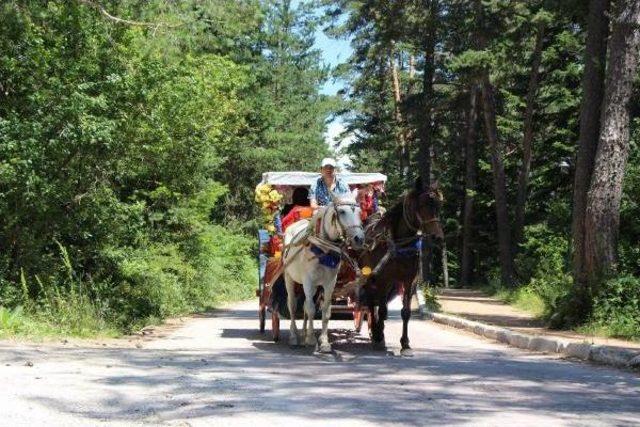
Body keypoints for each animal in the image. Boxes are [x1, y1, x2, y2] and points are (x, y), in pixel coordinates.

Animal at [282, 196, 362, 352]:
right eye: (342, 211)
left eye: (360, 212)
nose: (359, 238)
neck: (323, 249)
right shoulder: (308, 281)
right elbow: (312, 309)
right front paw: (312, 339)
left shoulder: (330, 282)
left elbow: (325, 311)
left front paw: (324, 341)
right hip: (289, 277)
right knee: (292, 305)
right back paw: (294, 336)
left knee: (305, 305)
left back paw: (304, 333)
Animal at [358, 177, 442, 354]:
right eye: (423, 204)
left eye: (439, 205)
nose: (438, 237)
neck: (400, 246)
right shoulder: (383, 280)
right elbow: (382, 310)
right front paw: (379, 336)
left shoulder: (409, 281)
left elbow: (406, 312)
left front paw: (405, 343)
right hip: (369, 279)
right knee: (371, 304)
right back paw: (376, 332)